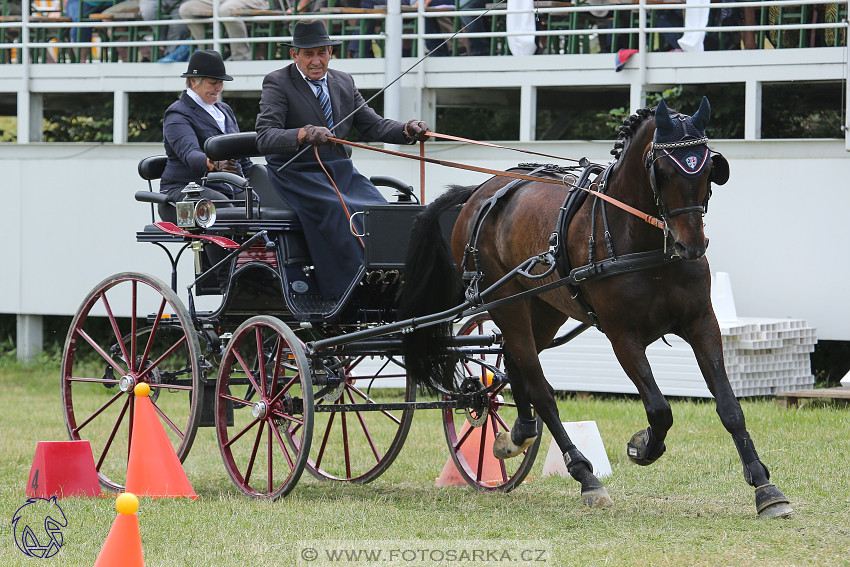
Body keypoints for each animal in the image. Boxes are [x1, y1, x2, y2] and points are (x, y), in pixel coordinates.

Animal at [400, 96, 792, 520]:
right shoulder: (623, 337)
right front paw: (643, 446)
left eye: (707, 169)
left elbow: (729, 406)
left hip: (543, 307)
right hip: (505, 302)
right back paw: (585, 476)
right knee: (540, 387)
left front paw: (765, 487)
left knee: (514, 363)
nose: (689, 245)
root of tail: (479, 191)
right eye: (663, 171)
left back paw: (518, 434)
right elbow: (659, 409)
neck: (643, 242)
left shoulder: (702, 322)